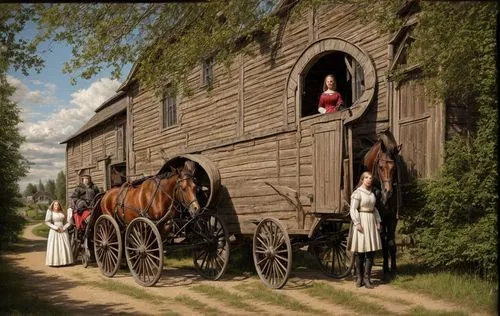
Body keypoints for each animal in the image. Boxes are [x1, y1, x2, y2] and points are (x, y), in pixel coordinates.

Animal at [360, 130, 402, 278]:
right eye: (381, 166)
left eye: (394, 168)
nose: (387, 192)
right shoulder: (381, 220)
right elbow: (383, 243)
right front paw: (385, 268)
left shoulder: (392, 218)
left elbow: (391, 243)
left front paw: (393, 268)